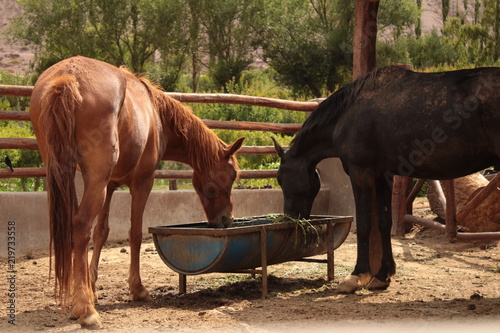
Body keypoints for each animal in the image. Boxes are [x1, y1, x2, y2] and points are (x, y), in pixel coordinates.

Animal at [29, 55, 244, 328]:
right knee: (81, 226)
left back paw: (78, 298)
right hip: (94, 179)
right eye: (231, 175)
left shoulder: (110, 184)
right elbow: (135, 233)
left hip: (66, 174)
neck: (157, 115)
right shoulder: (142, 183)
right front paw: (137, 289)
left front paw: (92, 286)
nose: (227, 220)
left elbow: (102, 232)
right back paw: (85, 310)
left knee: (72, 227)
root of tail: (68, 76)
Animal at [274, 65, 500, 294]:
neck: (347, 113)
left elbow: (364, 223)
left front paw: (357, 275)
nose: (291, 218)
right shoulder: (383, 176)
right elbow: (384, 222)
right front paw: (383, 275)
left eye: (280, 178)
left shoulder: (360, 173)